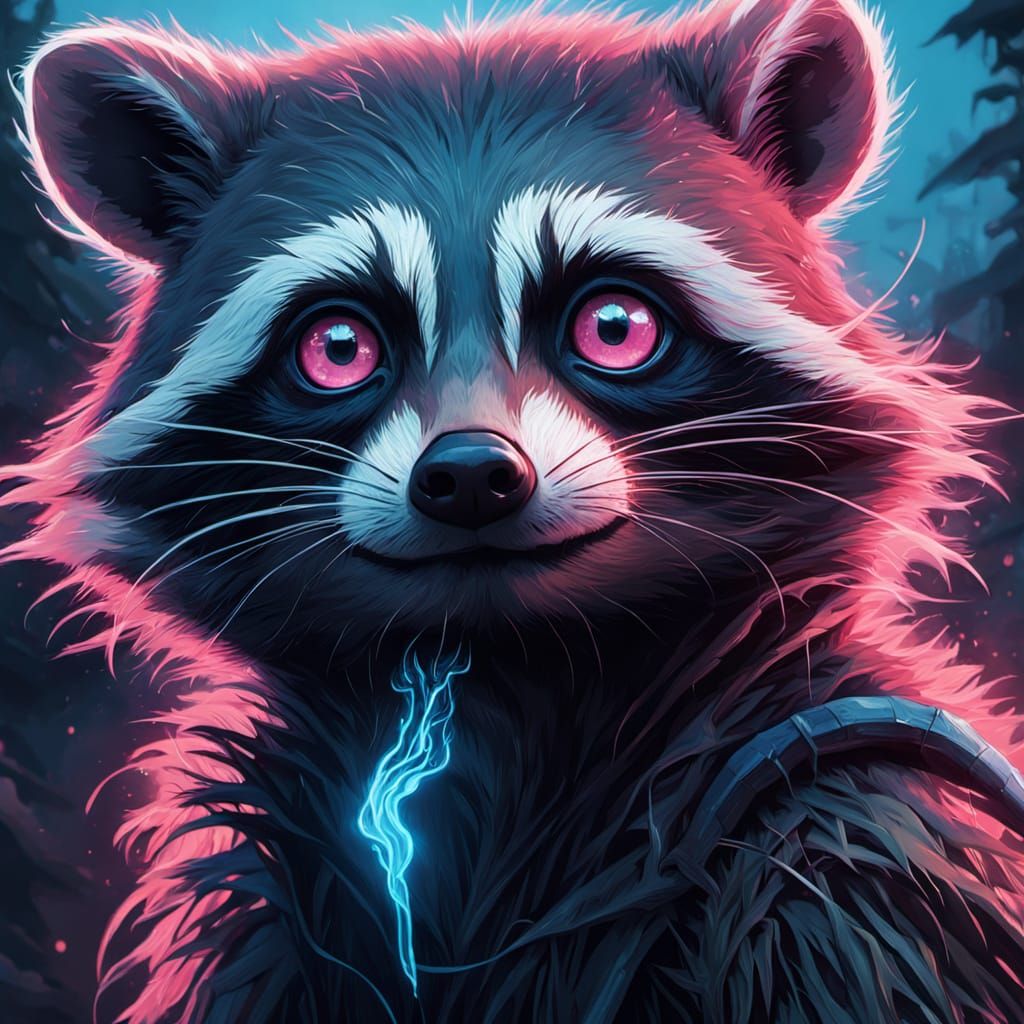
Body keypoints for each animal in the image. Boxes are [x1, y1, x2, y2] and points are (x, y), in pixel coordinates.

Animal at [9, 1, 1024, 1021]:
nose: (469, 473)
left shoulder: (854, 832)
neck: (506, 677)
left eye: (614, 327)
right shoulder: (268, 908)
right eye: (338, 346)